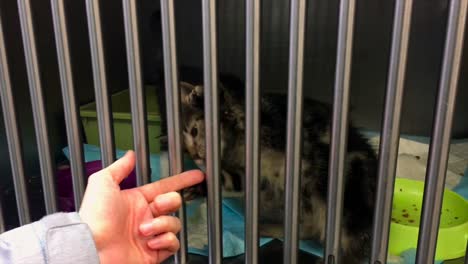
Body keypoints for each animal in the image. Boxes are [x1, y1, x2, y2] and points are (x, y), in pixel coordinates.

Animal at [176, 79, 376, 264]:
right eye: (185, 150)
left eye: (194, 131)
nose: (196, 156)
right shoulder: (247, 174)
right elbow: (229, 180)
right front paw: (196, 186)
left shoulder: (272, 128)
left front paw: (205, 96)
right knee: (309, 228)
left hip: (347, 195)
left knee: (354, 241)